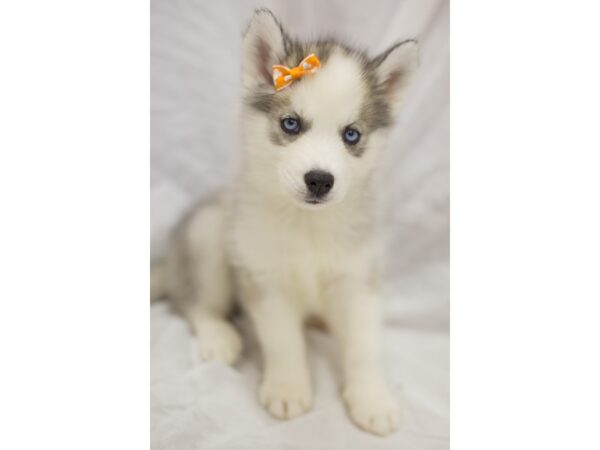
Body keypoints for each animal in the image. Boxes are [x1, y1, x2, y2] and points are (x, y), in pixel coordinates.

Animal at [154, 7, 418, 436]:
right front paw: (288, 388)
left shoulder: (358, 277)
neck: (308, 224)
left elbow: (363, 345)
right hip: (209, 231)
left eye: (351, 135)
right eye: (291, 124)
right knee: (193, 302)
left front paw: (370, 398)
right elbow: (283, 341)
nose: (319, 180)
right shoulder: (265, 279)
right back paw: (218, 334)